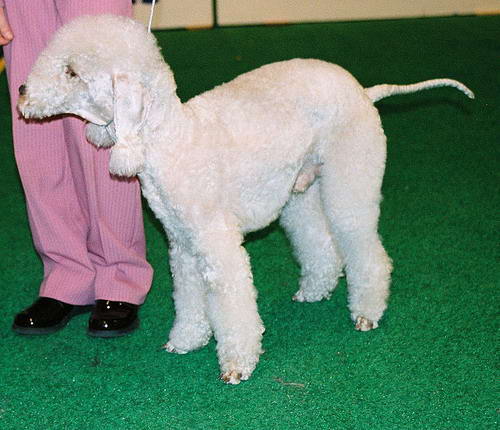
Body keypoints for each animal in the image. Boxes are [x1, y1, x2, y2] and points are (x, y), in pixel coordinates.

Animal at [18, 15, 472, 384]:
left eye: (72, 71)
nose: (20, 91)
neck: (171, 138)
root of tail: (363, 90)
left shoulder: (217, 244)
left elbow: (233, 306)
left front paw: (237, 364)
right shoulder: (183, 245)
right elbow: (189, 299)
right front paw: (186, 340)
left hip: (350, 181)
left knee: (367, 252)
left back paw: (367, 313)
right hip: (300, 191)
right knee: (320, 244)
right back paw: (314, 291)